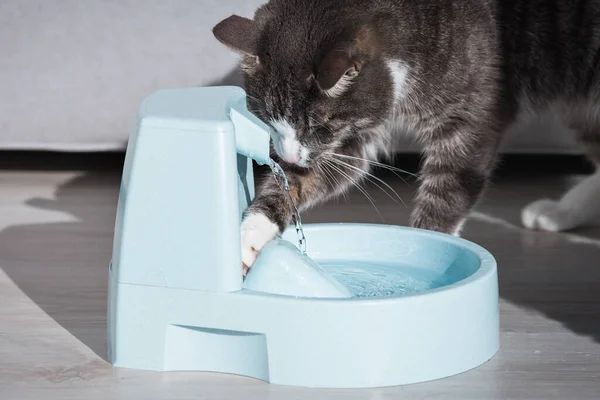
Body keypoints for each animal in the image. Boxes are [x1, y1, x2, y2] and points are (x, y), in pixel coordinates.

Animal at [212, 0, 600, 270]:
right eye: (267, 120)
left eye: (318, 125)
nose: (288, 156)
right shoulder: (350, 134)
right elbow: (303, 179)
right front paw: (247, 238)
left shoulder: (471, 113)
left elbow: (448, 189)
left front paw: (433, 246)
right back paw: (560, 212)